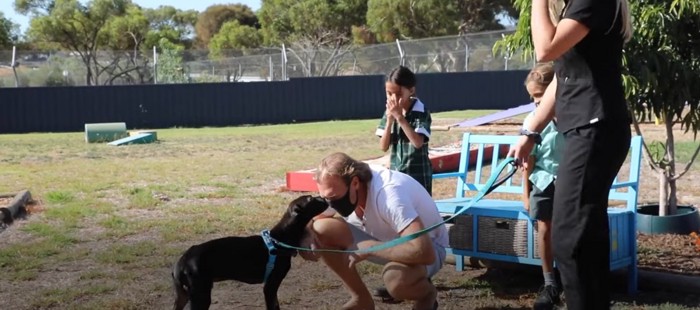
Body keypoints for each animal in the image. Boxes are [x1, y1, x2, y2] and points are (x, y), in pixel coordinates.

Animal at [174, 195, 330, 308]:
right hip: (200, 294)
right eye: (310, 199)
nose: (325, 198)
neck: (277, 239)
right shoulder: (270, 286)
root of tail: (182, 261)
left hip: (184, 295)